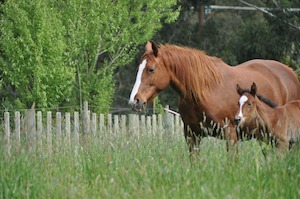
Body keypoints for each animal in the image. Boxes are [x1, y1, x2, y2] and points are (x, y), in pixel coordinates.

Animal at [128, 40, 300, 157]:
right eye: (137, 69)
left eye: (151, 69)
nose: (134, 101)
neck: (204, 90)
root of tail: (291, 73)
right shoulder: (192, 136)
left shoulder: (230, 135)